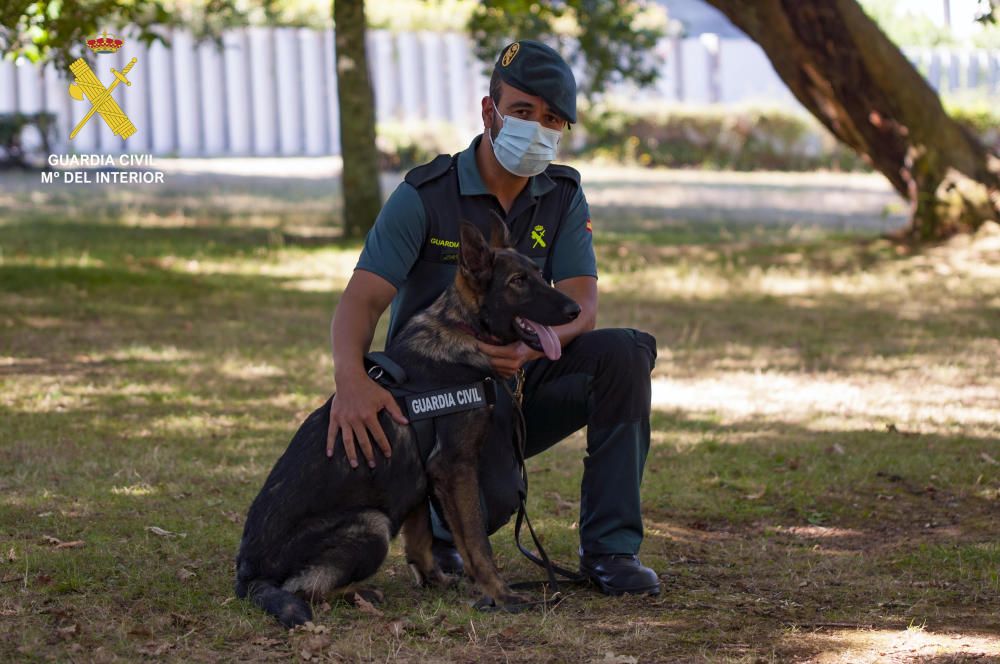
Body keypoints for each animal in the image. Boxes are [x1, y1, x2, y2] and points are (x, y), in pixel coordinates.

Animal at [234, 219, 580, 628]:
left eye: (539, 275)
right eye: (518, 281)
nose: (576, 309)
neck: (464, 330)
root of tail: (248, 577)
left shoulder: (421, 479)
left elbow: (421, 540)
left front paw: (436, 581)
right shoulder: (455, 468)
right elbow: (477, 542)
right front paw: (501, 594)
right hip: (373, 524)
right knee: (305, 589)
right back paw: (359, 593)